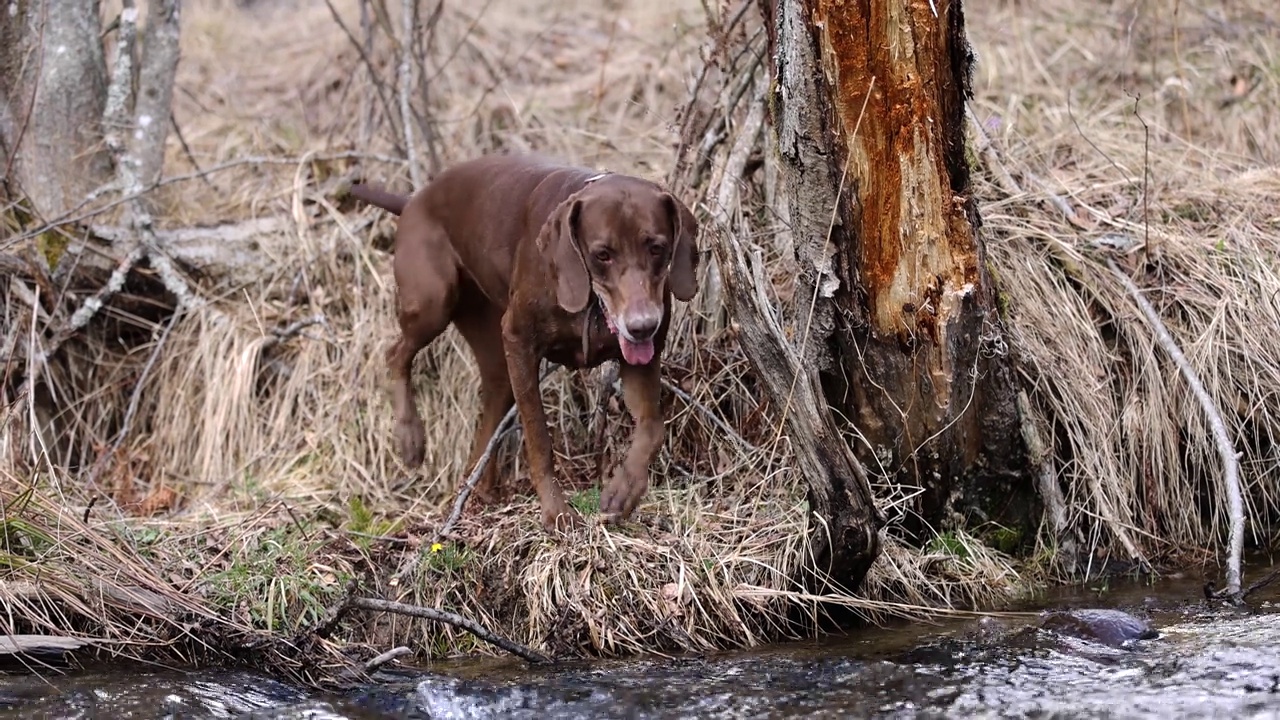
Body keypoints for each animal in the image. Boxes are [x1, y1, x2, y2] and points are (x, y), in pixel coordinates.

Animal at [350, 154, 701, 530]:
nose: (642, 327)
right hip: (432, 301)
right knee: (394, 354)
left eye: (657, 248)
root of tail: (415, 198)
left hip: (490, 344)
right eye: (602, 254)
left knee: (489, 409)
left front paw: (625, 490)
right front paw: (555, 510)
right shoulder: (519, 342)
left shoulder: (641, 363)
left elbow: (652, 427)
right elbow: (539, 439)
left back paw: (478, 492)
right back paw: (410, 437)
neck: (591, 303)